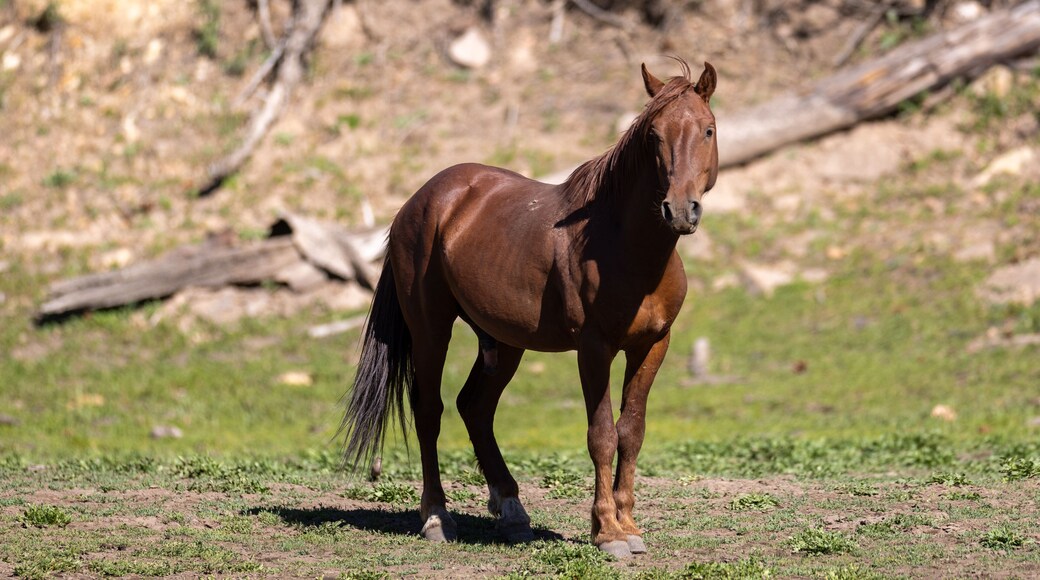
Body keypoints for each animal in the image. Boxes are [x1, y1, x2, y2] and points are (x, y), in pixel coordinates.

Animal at [340, 58, 718, 558]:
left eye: (708, 130)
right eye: (654, 135)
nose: (679, 210)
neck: (625, 248)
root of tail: (420, 201)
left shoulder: (653, 345)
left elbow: (631, 432)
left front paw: (630, 526)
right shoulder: (594, 349)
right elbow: (602, 434)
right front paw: (608, 533)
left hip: (503, 342)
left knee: (475, 408)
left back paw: (513, 513)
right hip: (431, 329)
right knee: (430, 409)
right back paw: (437, 517)